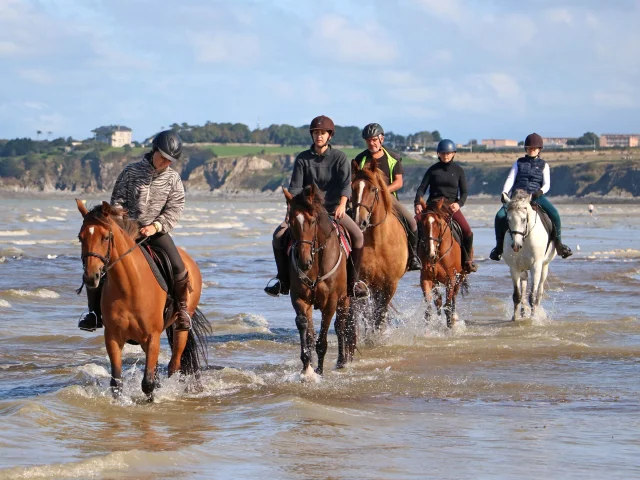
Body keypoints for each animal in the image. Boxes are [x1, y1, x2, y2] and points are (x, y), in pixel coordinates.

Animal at [75, 201, 210, 400]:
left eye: (105, 237)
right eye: (80, 237)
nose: (91, 278)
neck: (129, 287)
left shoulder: (152, 337)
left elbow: (147, 383)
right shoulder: (113, 337)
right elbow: (117, 383)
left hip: (180, 329)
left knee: (174, 365)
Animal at [284, 186, 356, 380]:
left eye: (313, 220)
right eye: (290, 221)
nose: (304, 262)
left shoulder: (331, 302)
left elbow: (322, 339)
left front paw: (320, 371)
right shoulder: (300, 298)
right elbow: (306, 330)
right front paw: (307, 368)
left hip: (345, 299)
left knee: (341, 326)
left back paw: (341, 361)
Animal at [352, 158, 408, 330]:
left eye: (373, 189)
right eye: (352, 187)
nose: (359, 221)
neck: (379, 242)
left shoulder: (390, 284)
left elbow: (380, 314)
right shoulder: (364, 282)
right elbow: (368, 314)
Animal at [418, 197, 468, 328]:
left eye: (438, 224)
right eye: (422, 224)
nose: (430, 252)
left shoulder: (451, 279)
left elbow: (448, 306)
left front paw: (450, 326)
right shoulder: (426, 278)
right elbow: (429, 308)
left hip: (460, 277)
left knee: (453, 298)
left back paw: (454, 318)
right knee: (438, 302)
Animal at [500, 189, 556, 320]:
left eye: (523, 219)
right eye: (508, 220)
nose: (516, 245)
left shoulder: (536, 266)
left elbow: (533, 296)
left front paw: (533, 318)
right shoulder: (514, 268)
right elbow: (517, 295)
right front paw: (515, 318)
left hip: (544, 266)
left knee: (539, 291)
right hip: (523, 269)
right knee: (524, 287)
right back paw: (523, 311)